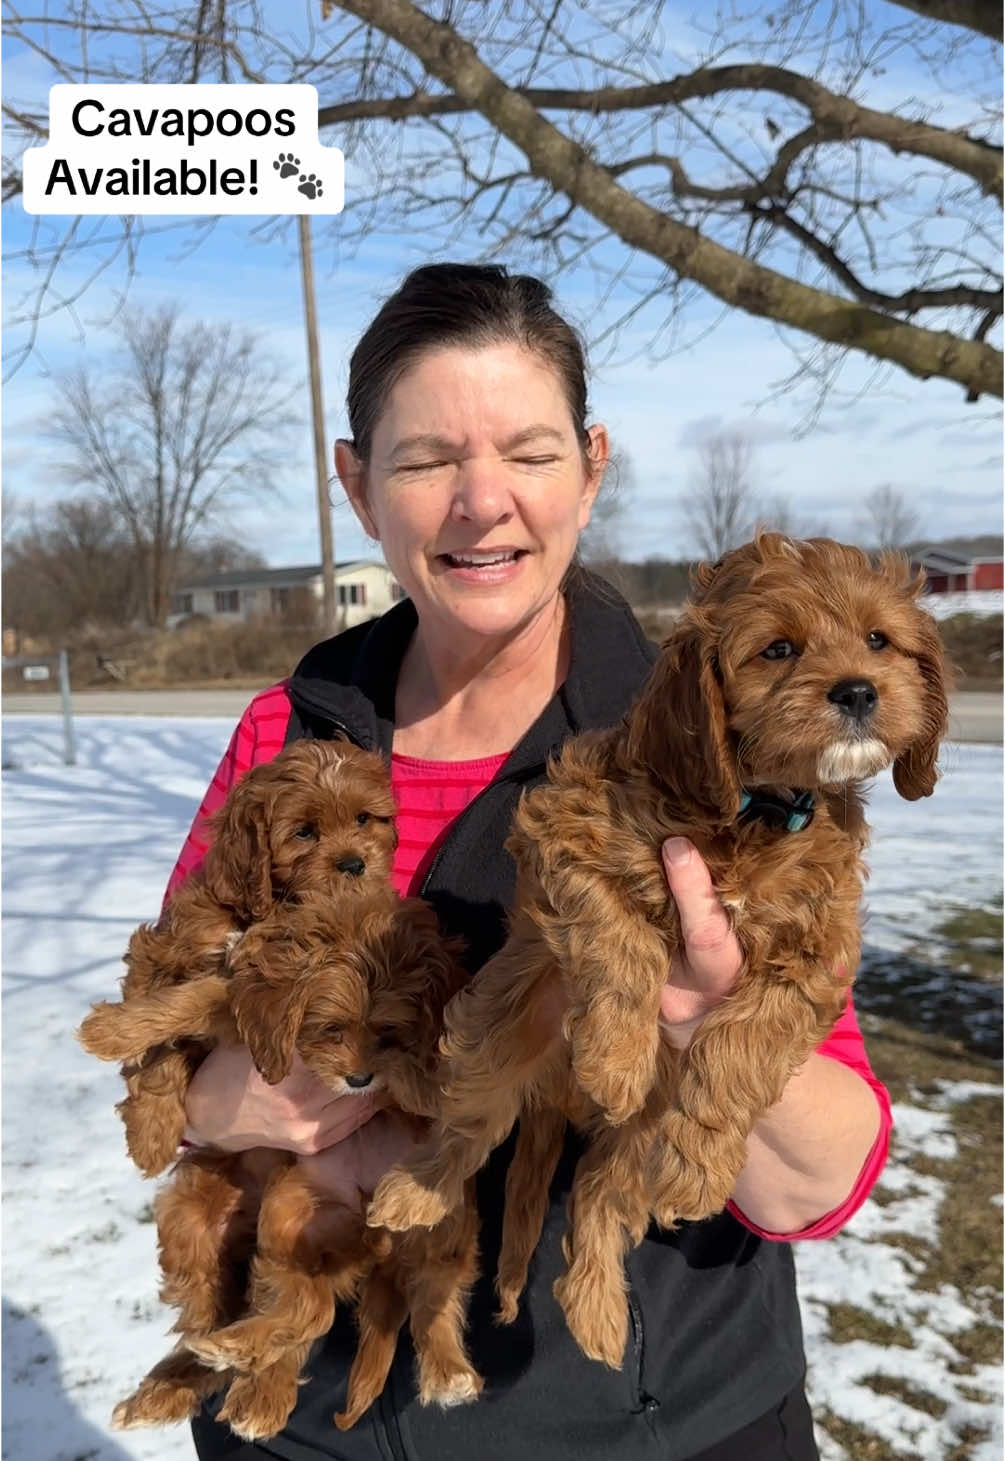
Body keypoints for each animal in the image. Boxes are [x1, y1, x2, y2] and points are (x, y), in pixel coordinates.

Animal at [76, 742, 397, 1174]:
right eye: (304, 832)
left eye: (364, 818)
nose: (354, 864)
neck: (266, 910)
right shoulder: (163, 948)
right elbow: (157, 1041)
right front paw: (149, 1126)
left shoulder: (253, 996)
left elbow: (189, 1003)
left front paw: (108, 1033)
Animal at [111, 888, 482, 1437]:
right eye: (329, 1029)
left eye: (387, 1030)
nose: (359, 1079)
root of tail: (372, 1230)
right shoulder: (243, 1012)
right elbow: (192, 1006)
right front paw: (115, 1040)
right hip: (259, 1216)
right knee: (292, 1307)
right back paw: (216, 1376)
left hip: (443, 1220)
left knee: (429, 1290)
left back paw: (447, 1370)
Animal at [369, 537, 952, 1367]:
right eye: (778, 649)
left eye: (879, 640)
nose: (857, 691)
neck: (757, 808)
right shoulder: (566, 836)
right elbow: (621, 945)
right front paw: (615, 1057)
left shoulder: (813, 956)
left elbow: (742, 1041)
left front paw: (700, 1166)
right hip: (495, 1041)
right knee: (465, 1131)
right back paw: (414, 1189)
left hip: (636, 1135)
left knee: (596, 1196)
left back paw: (595, 1307)